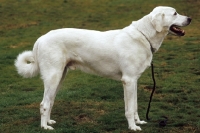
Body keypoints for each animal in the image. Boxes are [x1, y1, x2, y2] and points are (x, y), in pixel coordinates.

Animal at [15, 6, 191, 131]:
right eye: (175, 13)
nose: (190, 18)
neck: (144, 35)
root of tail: (41, 37)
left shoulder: (133, 81)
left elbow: (133, 106)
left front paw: (138, 122)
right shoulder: (128, 80)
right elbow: (130, 109)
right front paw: (133, 127)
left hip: (59, 77)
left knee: (50, 101)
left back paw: (49, 121)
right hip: (53, 76)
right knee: (44, 104)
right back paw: (45, 127)